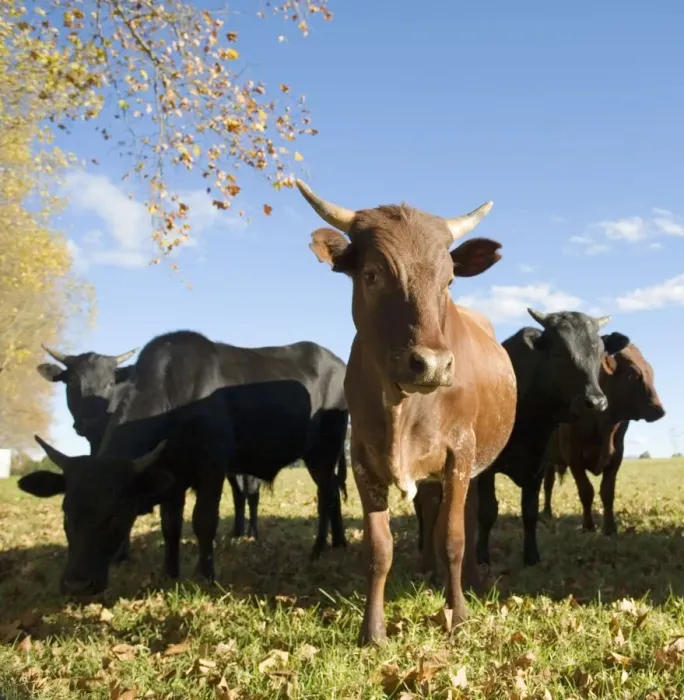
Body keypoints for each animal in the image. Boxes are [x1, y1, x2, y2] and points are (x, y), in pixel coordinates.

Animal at [20, 330, 349, 595]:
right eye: (65, 512)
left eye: (114, 515)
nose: (77, 584)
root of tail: (338, 363)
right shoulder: (170, 476)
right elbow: (171, 526)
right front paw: (169, 574)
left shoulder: (213, 466)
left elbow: (203, 521)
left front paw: (205, 575)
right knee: (333, 491)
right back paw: (339, 541)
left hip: (323, 450)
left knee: (326, 495)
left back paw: (319, 548)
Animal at [295, 179, 517, 646]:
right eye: (372, 274)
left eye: (449, 280)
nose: (432, 364)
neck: (402, 407)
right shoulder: (362, 458)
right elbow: (379, 549)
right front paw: (373, 630)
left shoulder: (460, 452)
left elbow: (454, 537)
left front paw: (458, 616)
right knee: (432, 511)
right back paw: (429, 572)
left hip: (474, 462)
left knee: (465, 516)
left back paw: (467, 581)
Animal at [542, 339, 665, 534]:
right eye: (633, 373)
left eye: (650, 370)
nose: (658, 409)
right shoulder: (573, 456)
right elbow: (586, 491)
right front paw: (588, 526)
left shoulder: (617, 454)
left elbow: (607, 492)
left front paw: (609, 528)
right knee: (548, 484)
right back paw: (546, 513)